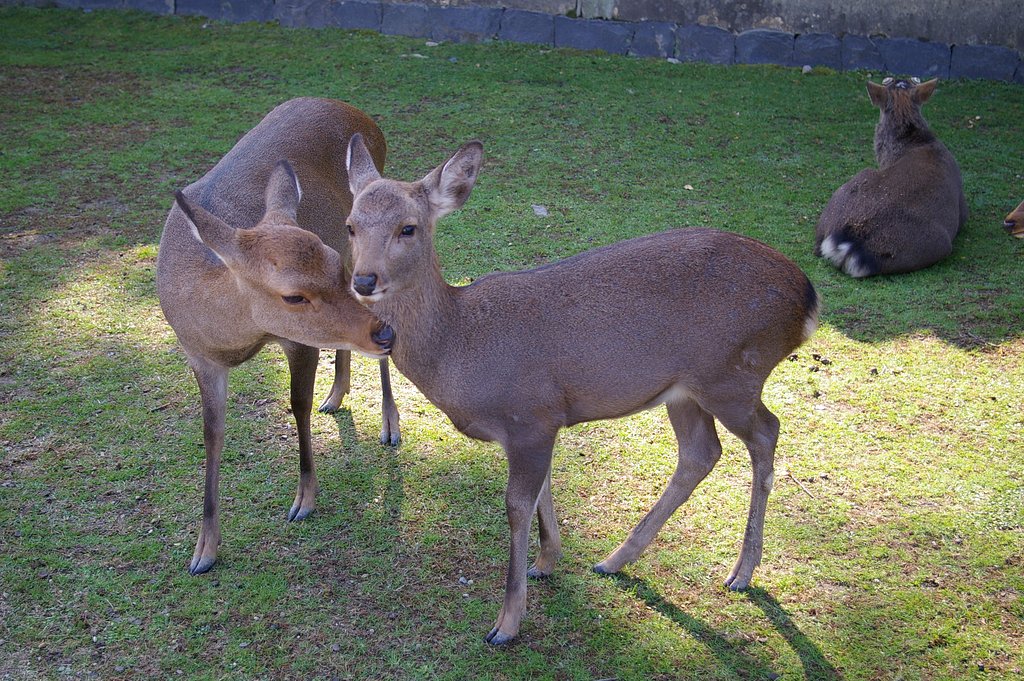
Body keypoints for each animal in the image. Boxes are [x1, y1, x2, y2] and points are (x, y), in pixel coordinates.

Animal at [156, 98, 400, 576]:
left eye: (331, 264)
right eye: (293, 295)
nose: (384, 333)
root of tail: (364, 117)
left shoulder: (297, 340)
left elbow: (297, 405)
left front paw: (304, 500)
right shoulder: (199, 357)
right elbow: (212, 433)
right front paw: (203, 550)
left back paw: (389, 423)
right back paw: (336, 395)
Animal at [343, 134, 820, 644]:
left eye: (408, 228)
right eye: (350, 226)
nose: (364, 280)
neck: (461, 348)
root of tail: (808, 300)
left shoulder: (529, 414)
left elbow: (516, 506)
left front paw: (506, 624)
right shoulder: (542, 422)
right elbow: (543, 492)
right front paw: (547, 562)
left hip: (732, 374)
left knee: (767, 432)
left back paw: (741, 572)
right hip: (685, 390)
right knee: (701, 452)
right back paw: (614, 559)